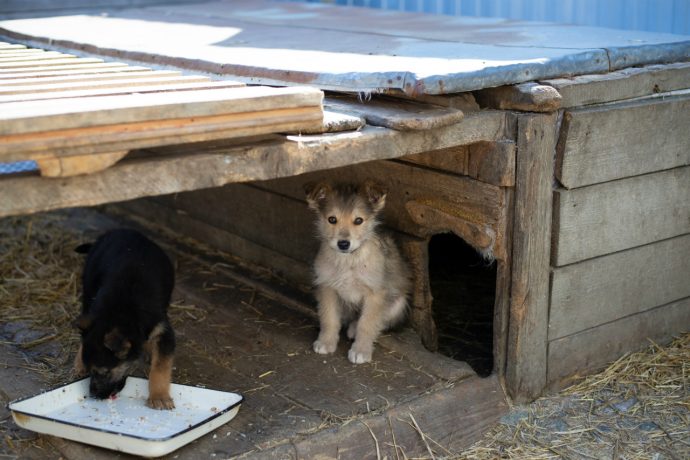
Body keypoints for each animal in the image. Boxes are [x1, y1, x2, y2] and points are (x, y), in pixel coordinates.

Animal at [72, 230, 175, 410]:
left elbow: (160, 367)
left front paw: (159, 396)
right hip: (88, 287)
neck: (121, 310)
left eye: (104, 373)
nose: (93, 395)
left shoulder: (163, 332)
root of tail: (120, 231)